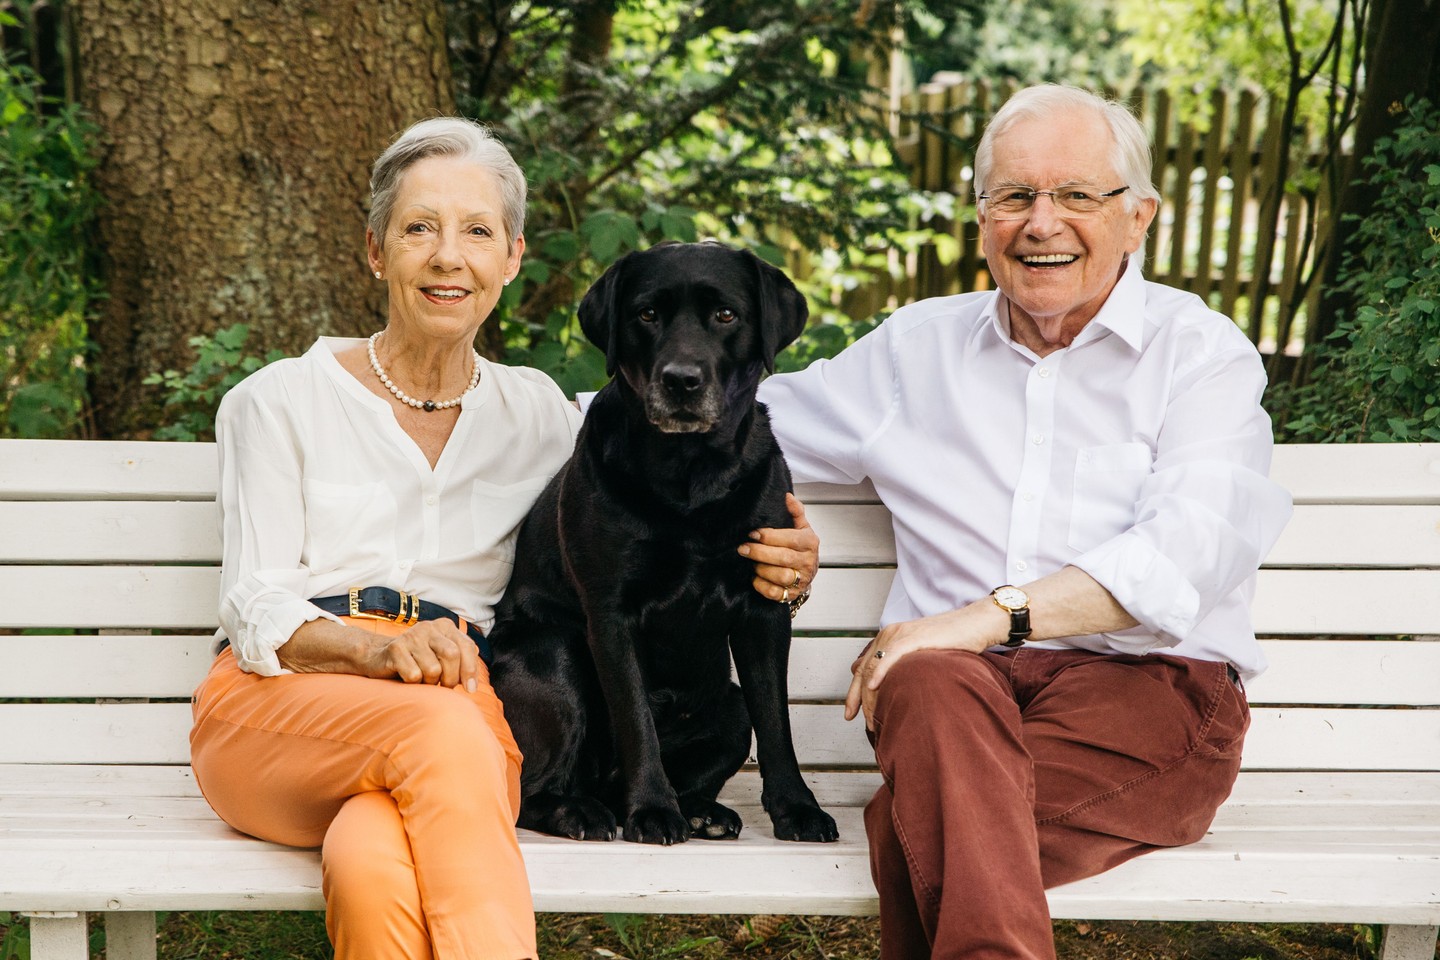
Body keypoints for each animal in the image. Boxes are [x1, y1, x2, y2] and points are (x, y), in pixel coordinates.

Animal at [489, 241, 840, 846]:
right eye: (647, 314)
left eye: (726, 315)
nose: (681, 380)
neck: (691, 475)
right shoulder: (611, 613)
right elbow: (637, 721)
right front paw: (653, 810)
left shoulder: (763, 608)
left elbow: (778, 725)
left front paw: (798, 808)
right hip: (553, 657)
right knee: (529, 792)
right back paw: (582, 811)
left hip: (729, 706)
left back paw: (702, 811)